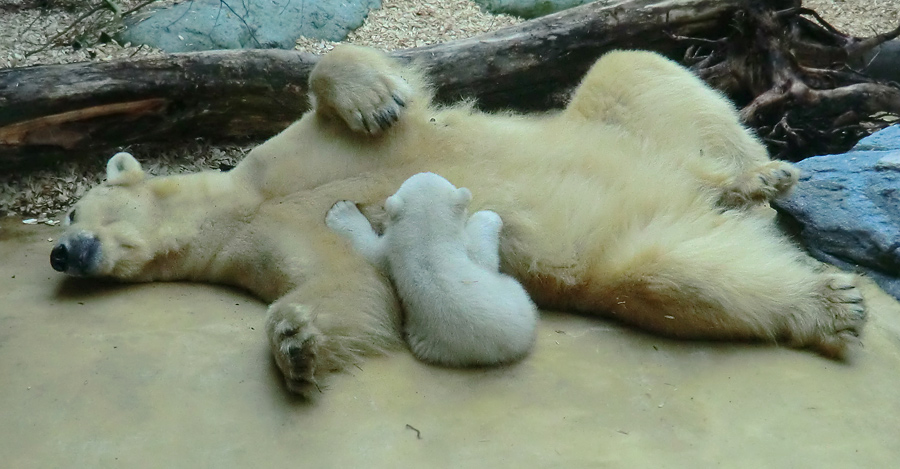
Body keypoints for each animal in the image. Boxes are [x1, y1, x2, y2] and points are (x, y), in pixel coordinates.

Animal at [324, 172, 536, 366]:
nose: (424, 172)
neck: (427, 241)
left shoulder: (391, 251)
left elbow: (369, 251)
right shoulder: (396, 250)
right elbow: (484, 258)